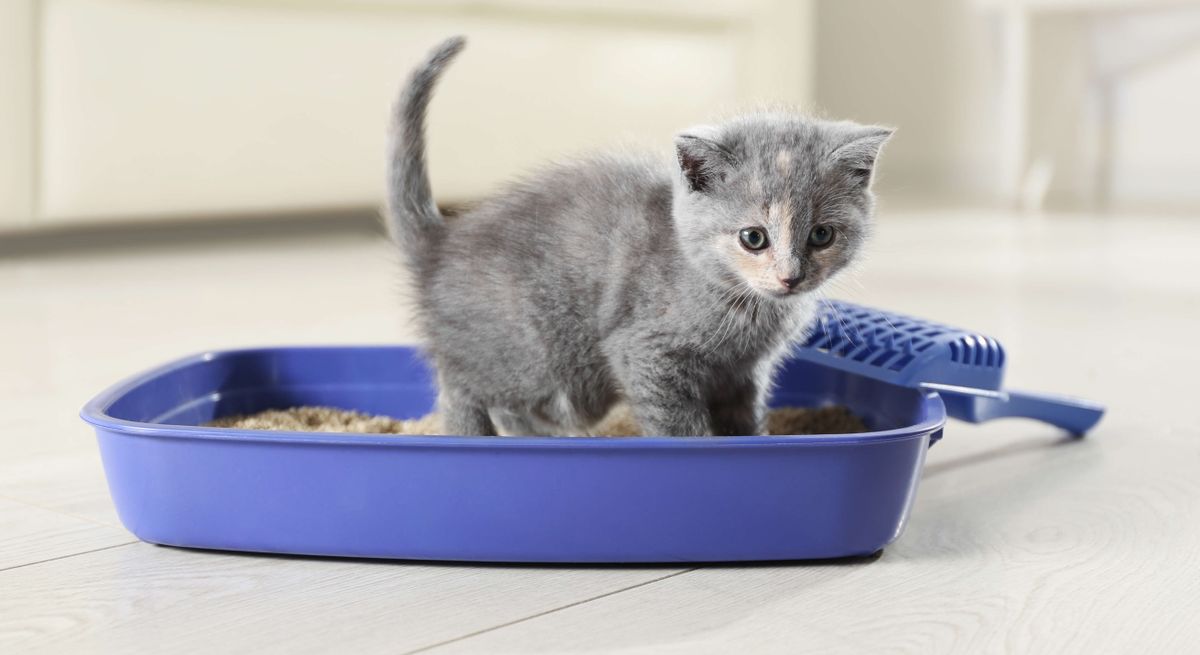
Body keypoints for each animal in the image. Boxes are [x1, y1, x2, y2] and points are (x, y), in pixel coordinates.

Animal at [386, 34, 892, 434]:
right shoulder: (646, 351)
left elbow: (744, 421)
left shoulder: (744, 375)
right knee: (462, 388)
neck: (741, 304)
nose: (791, 277)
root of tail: (441, 243)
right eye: (753, 238)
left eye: (822, 235)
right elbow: (679, 426)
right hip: (539, 357)